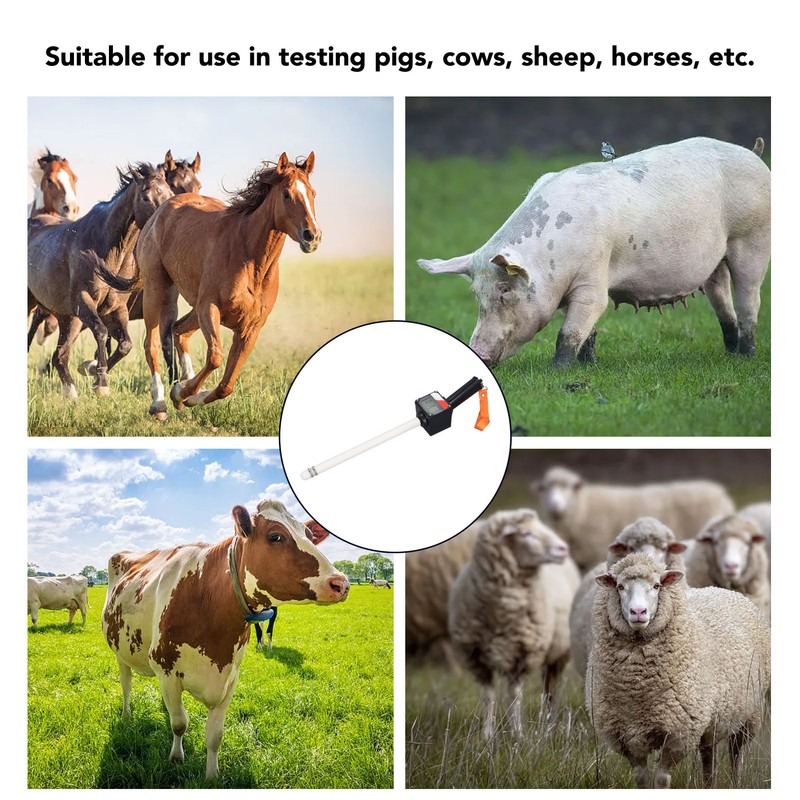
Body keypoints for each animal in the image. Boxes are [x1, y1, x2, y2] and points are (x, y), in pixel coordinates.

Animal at [418, 137, 771, 367]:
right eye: (477, 294)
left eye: (505, 291)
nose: (479, 353)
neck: (551, 261)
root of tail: (753, 155)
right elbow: (587, 332)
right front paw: (588, 366)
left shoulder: (593, 278)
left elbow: (571, 330)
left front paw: (558, 372)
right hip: (716, 261)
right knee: (720, 297)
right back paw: (730, 351)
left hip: (753, 237)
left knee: (749, 298)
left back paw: (747, 356)